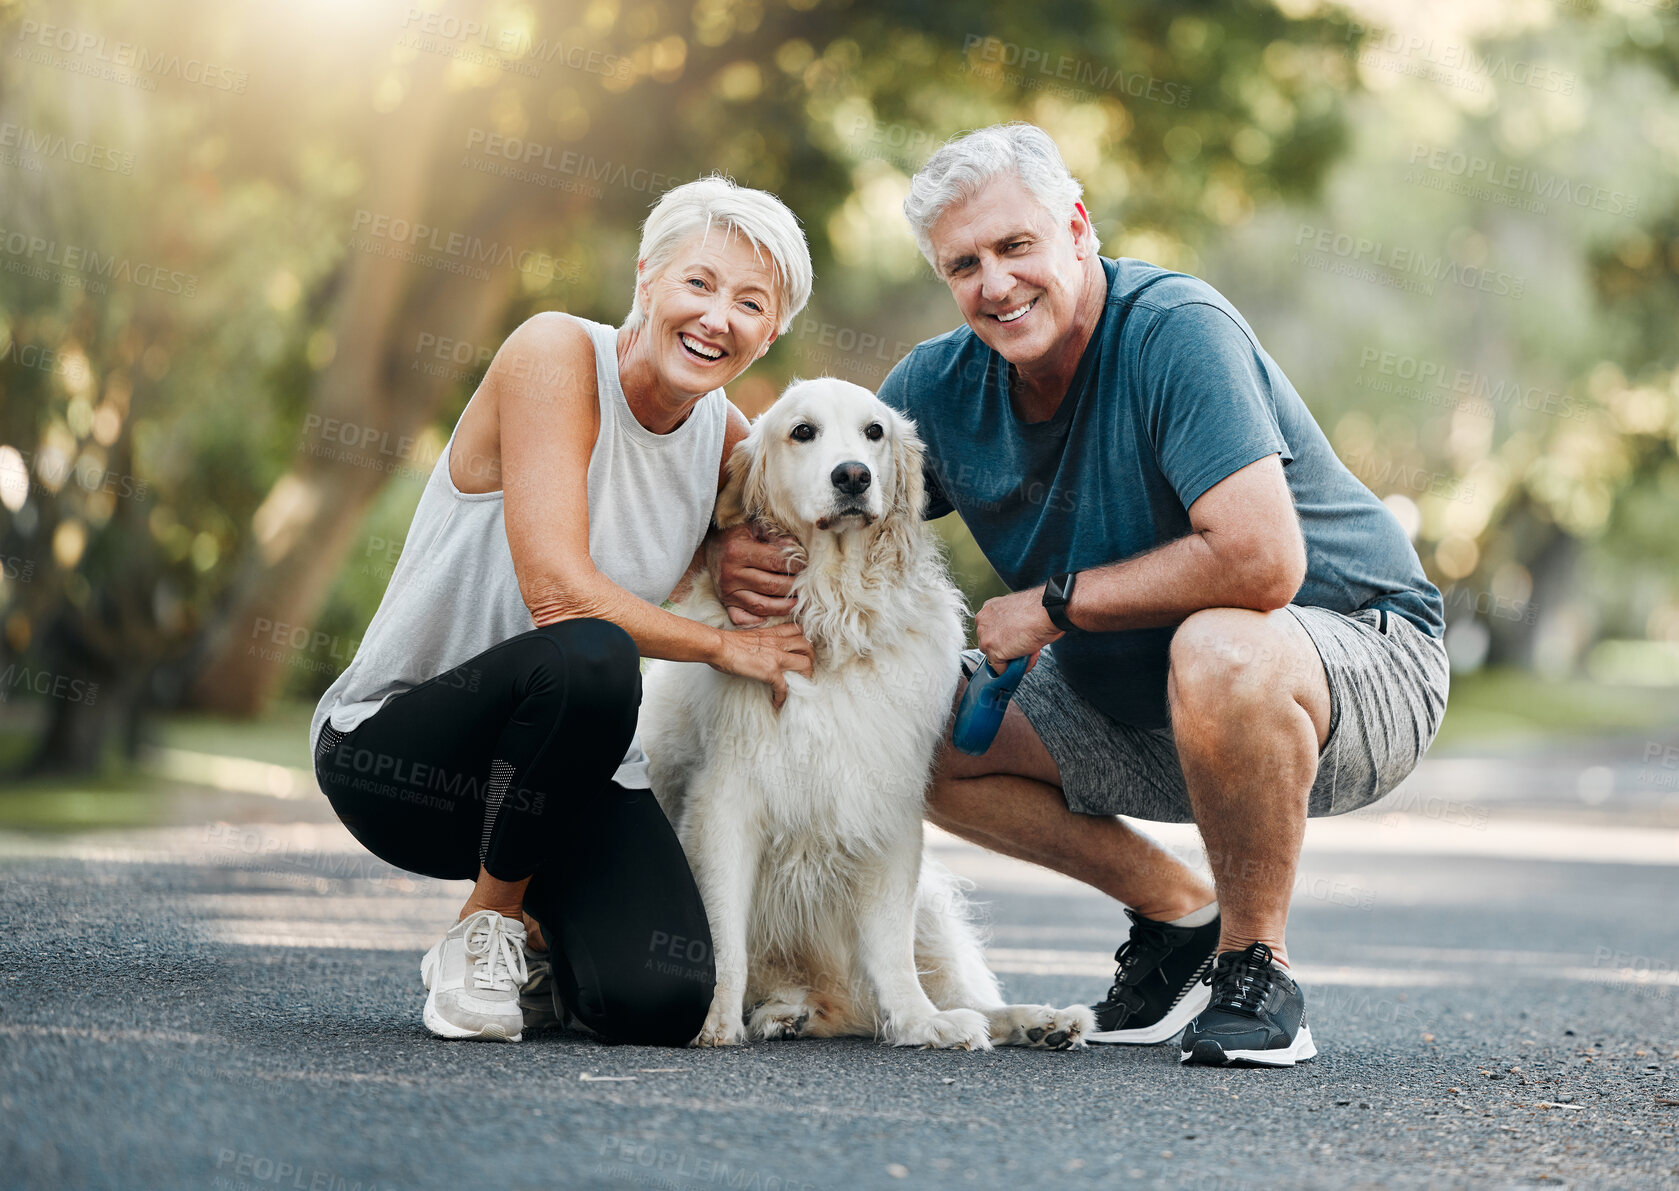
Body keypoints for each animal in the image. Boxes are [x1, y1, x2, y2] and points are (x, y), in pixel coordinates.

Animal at [634, 377, 1094, 1048]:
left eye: (874, 431)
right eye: (803, 432)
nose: (853, 475)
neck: (836, 615)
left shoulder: (887, 808)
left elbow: (892, 951)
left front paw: (921, 1021)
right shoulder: (724, 807)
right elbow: (722, 938)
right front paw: (715, 1021)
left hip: (929, 909)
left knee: (958, 994)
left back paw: (1037, 1020)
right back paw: (781, 1011)